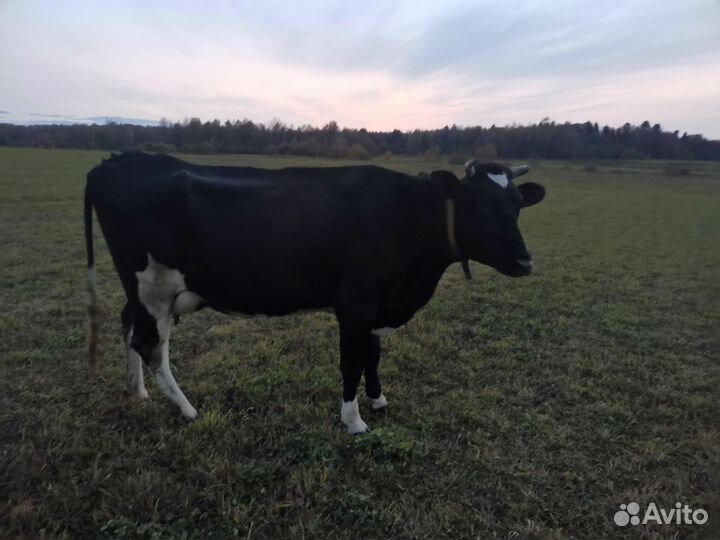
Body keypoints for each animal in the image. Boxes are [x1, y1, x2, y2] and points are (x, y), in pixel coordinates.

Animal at [84, 153, 545, 434]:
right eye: (479, 206)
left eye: (517, 206)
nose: (525, 263)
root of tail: (120, 160)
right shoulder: (355, 305)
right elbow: (351, 362)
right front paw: (353, 420)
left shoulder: (377, 305)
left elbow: (373, 355)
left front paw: (378, 400)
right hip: (153, 288)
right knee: (151, 346)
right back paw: (185, 408)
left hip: (142, 292)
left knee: (128, 327)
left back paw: (138, 392)